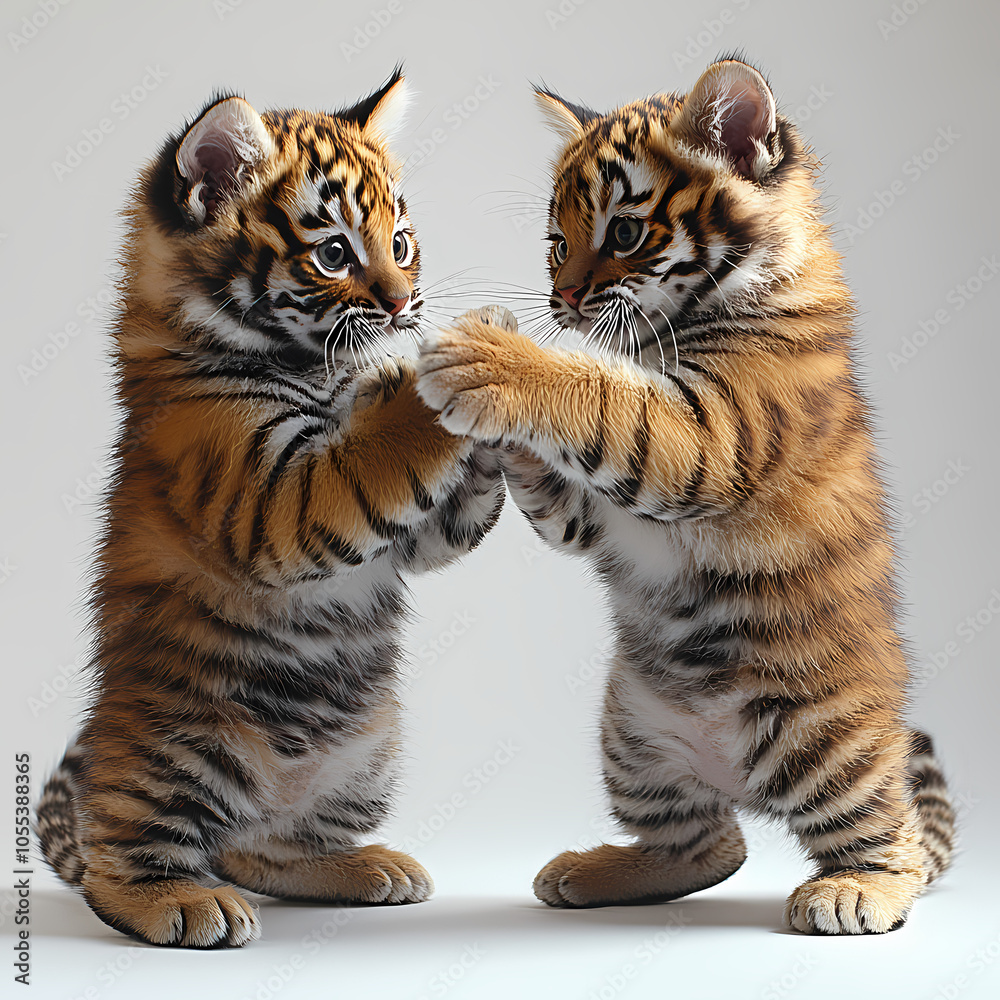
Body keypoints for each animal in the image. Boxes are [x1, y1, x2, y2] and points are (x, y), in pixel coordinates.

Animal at [34, 69, 504, 948]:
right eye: (334, 254)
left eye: (402, 243)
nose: (408, 306)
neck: (315, 366)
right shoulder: (268, 494)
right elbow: (376, 449)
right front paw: (451, 360)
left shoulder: (403, 536)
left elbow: (440, 517)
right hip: (174, 747)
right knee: (126, 851)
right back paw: (181, 903)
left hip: (369, 753)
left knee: (265, 852)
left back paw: (362, 867)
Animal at [415, 57, 956, 934]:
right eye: (556, 244)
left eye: (623, 235)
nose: (563, 301)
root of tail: (737, 777)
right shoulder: (595, 509)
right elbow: (570, 465)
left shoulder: (712, 435)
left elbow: (600, 394)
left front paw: (487, 358)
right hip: (632, 739)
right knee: (711, 847)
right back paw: (590, 872)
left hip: (824, 737)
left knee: (890, 835)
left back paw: (853, 893)